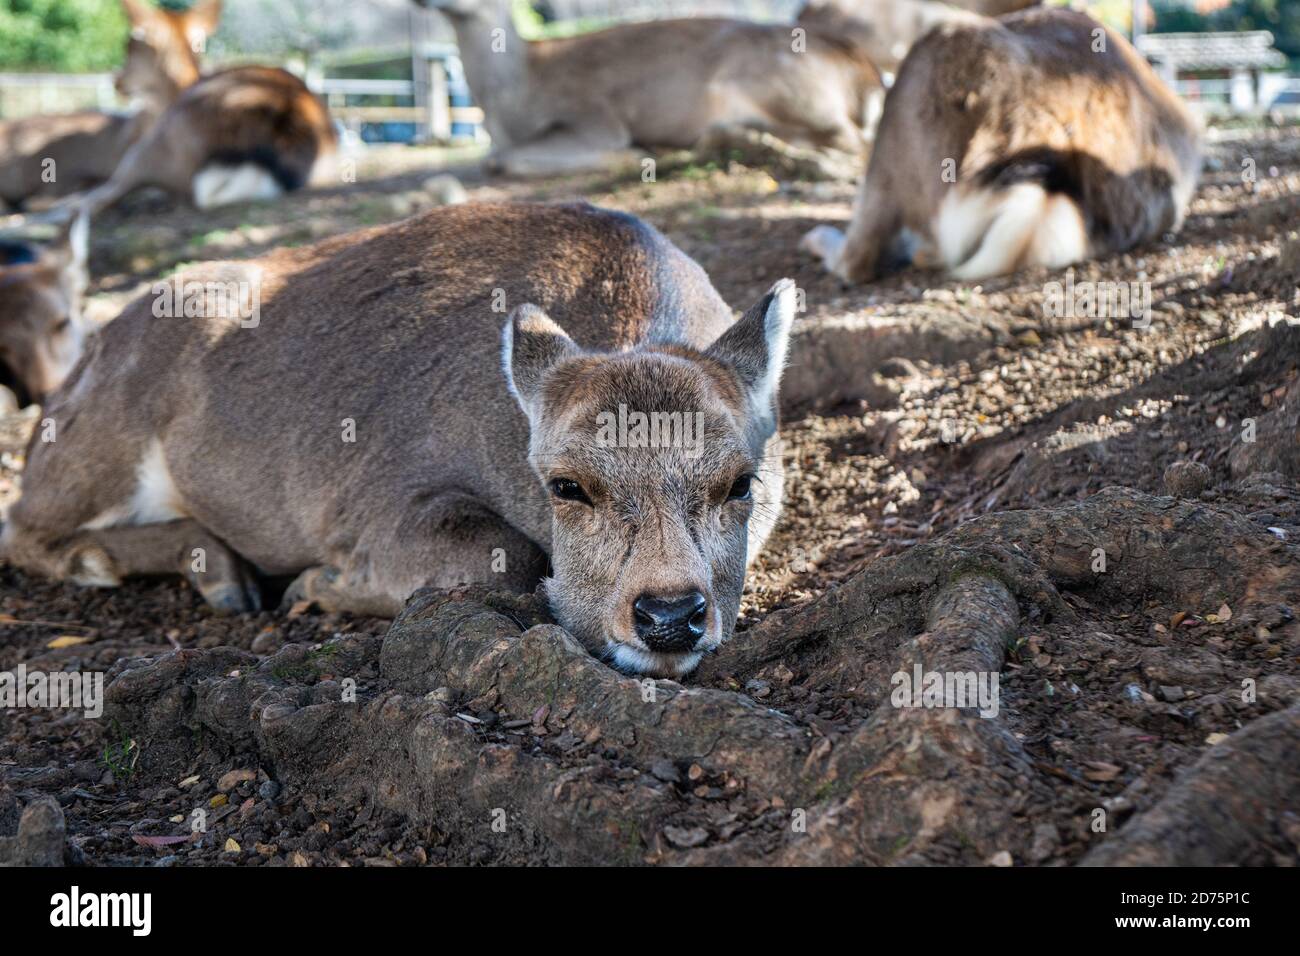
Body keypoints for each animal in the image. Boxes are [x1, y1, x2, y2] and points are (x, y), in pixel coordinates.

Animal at [421, 0, 878, 178]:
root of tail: (866, 72)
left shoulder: (593, 118)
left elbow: (498, 161)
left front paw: (633, 153)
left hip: (781, 89)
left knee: (855, 140)